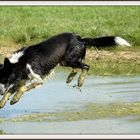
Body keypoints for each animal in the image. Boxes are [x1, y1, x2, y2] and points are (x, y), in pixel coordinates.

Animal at [0, 32, 131, 107]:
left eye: (5, 79)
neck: (20, 63)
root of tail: (80, 39)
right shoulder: (21, 80)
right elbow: (10, 91)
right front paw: (2, 103)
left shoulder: (38, 79)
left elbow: (21, 89)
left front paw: (14, 99)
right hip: (64, 61)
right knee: (76, 69)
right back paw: (69, 79)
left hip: (70, 59)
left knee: (86, 67)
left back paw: (80, 81)